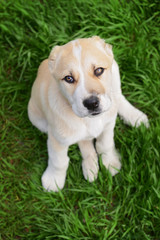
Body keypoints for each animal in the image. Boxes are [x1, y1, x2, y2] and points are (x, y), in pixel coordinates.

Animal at [27, 36, 149, 192]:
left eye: (98, 70)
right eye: (69, 78)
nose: (91, 103)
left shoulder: (108, 126)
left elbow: (105, 144)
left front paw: (110, 161)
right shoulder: (57, 138)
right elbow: (59, 161)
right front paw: (54, 180)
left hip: (115, 72)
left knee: (117, 96)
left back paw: (135, 117)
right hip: (36, 118)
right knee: (83, 140)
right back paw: (90, 166)